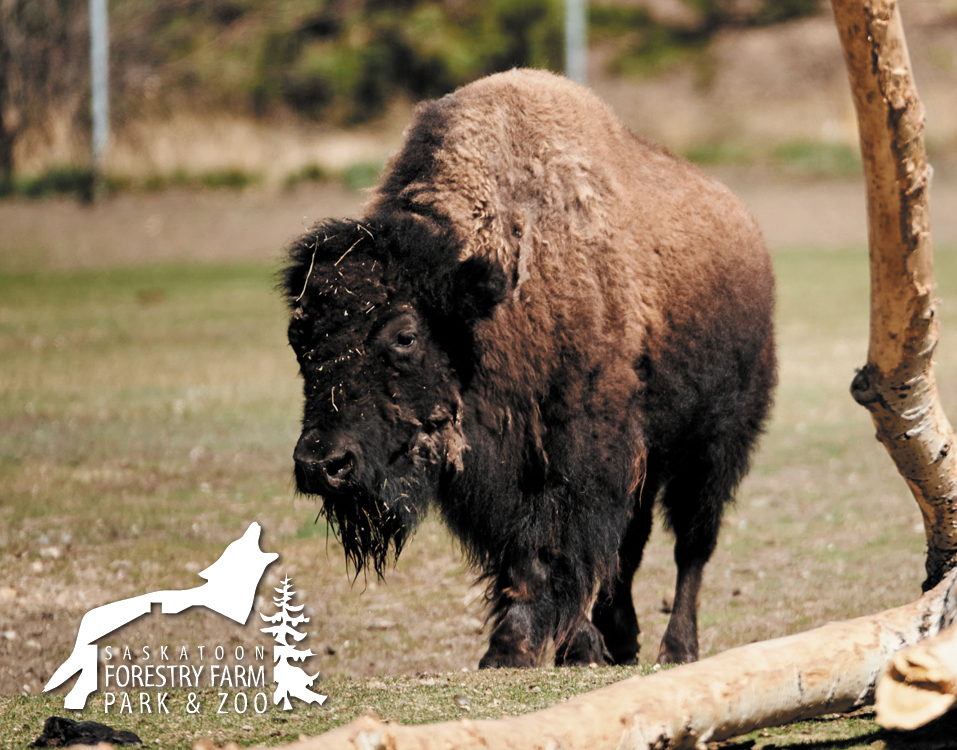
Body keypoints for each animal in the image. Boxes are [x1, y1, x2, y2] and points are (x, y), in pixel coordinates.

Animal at [280, 69, 772, 668]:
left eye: (405, 335)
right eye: (298, 338)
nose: (321, 464)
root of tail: (747, 232)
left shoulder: (580, 450)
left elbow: (555, 546)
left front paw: (525, 649)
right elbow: (536, 551)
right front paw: (558, 647)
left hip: (713, 445)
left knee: (691, 546)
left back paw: (677, 648)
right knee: (630, 549)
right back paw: (622, 640)